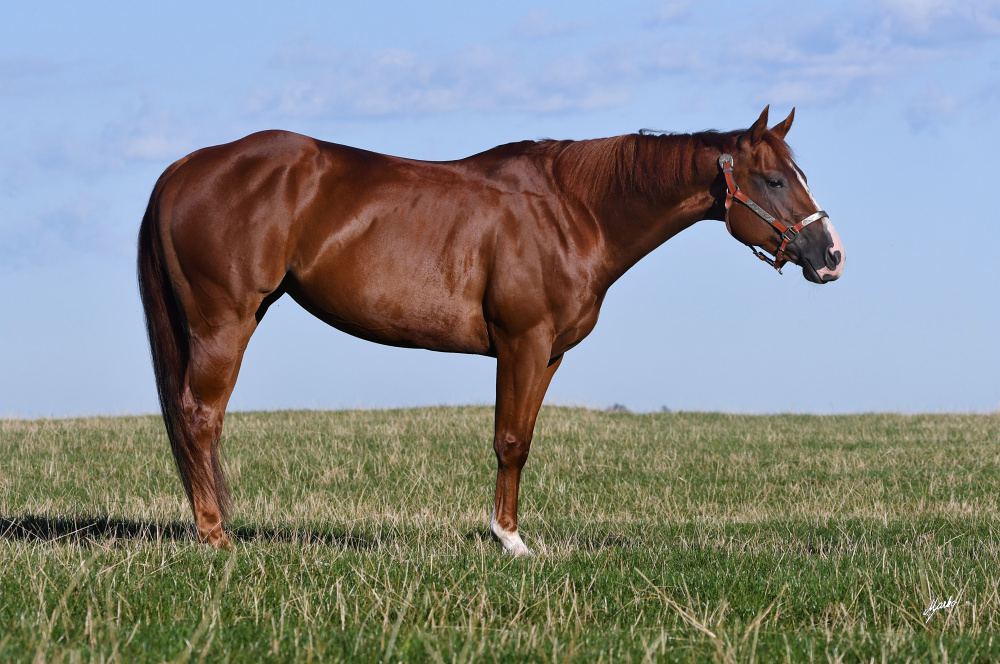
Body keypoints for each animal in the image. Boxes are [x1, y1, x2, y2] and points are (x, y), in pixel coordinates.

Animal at [139, 107, 844, 556]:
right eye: (773, 179)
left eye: (800, 175)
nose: (831, 255)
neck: (573, 211)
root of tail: (186, 167)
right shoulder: (520, 341)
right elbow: (509, 441)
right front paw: (509, 541)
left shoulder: (547, 354)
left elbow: (522, 438)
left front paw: (511, 534)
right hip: (224, 320)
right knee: (199, 415)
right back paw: (216, 538)